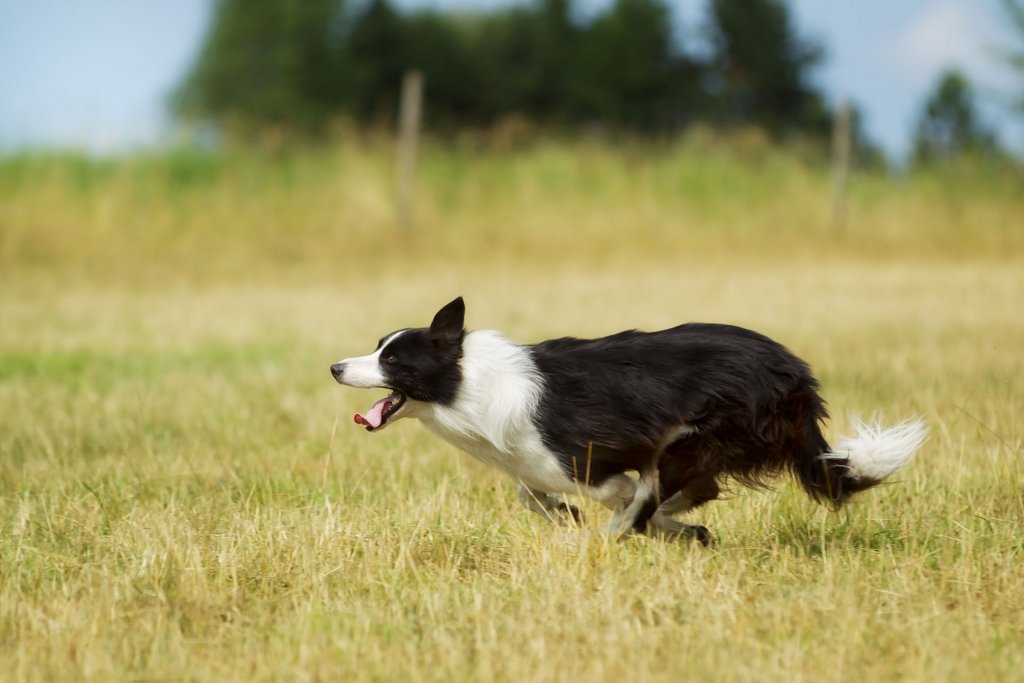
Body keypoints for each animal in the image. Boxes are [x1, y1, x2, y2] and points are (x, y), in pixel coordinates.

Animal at [331, 296, 925, 540]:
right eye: (378, 346)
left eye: (393, 359)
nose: (335, 366)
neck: (466, 383)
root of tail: (797, 372)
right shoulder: (536, 464)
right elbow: (530, 492)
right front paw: (562, 514)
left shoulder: (594, 456)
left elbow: (616, 494)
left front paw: (589, 525)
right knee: (689, 492)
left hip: (700, 434)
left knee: (662, 497)